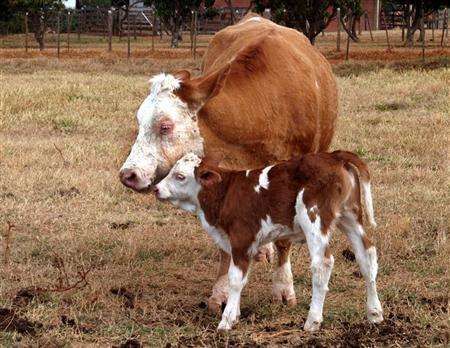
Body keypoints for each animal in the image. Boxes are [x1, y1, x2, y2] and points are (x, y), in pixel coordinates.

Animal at [119, 12, 338, 312]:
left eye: (165, 126)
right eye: (140, 121)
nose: (128, 174)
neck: (263, 109)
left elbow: (284, 241)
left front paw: (283, 287)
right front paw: (222, 292)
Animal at [154, 152, 384, 332]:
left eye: (180, 176)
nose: (156, 188)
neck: (225, 193)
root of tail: (335, 155)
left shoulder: (241, 239)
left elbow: (235, 280)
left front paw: (226, 321)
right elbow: (240, 279)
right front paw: (235, 314)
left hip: (314, 218)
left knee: (323, 264)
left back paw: (312, 321)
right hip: (350, 216)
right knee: (367, 256)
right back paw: (374, 313)